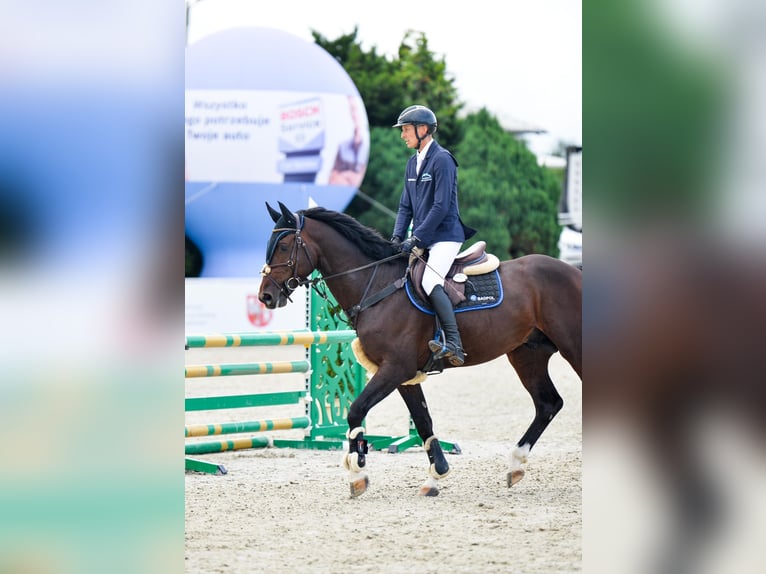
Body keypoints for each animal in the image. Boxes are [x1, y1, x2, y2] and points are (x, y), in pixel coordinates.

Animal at [258, 204, 584, 500]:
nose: (265, 296)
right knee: (548, 403)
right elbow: (423, 420)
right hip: (527, 354)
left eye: (284, 246)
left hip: (572, 348)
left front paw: (358, 470)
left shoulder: (395, 369)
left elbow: (355, 410)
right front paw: (435, 476)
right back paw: (515, 464)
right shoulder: (404, 375)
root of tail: (574, 271)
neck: (376, 285)